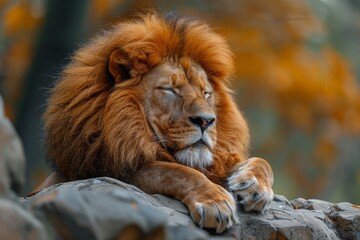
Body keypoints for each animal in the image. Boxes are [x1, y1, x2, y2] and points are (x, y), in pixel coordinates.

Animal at [36, 11, 272, 232]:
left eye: (206, 93)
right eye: (170, 90)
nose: (206, 121)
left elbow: (262, 162)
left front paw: (255, 188)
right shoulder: (109, 171)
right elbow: (175, 171)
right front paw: (216, 203)